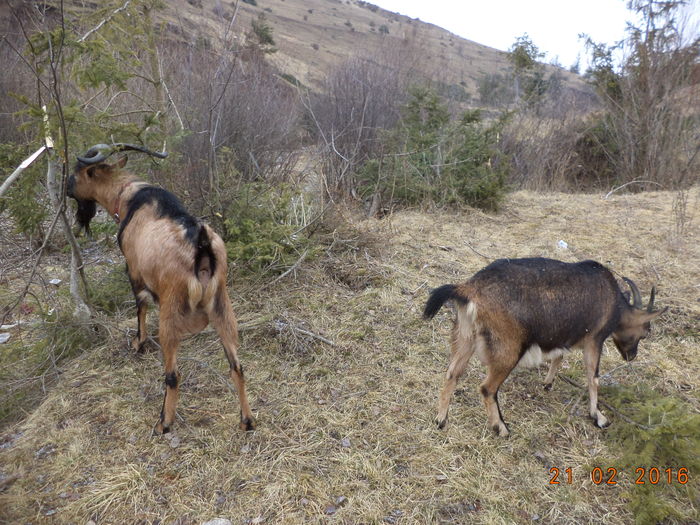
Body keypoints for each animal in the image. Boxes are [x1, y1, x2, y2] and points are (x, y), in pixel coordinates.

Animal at [67, 141, 254, 432]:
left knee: (173, 374)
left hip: (171, 311)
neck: (129, 196)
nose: (65, 188)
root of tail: (201, 247)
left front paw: (138, 343)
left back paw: (164, 422)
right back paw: (247, 420)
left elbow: (140, 307)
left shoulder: (134, 270)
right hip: (223, 306)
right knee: (237, 366)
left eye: (76, 172)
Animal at [424, 256, 664, 434]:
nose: (631, 355)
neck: (613, 301)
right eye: (645, 332)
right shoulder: (594, 339)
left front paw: (548, 383)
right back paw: (501, 428)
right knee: (487, 388)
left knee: (452, 374)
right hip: (508, 349)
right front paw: (599, 417)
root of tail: (469, 289)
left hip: (464, 337)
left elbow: (559, 355)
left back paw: (441, 420)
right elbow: (593, 377)